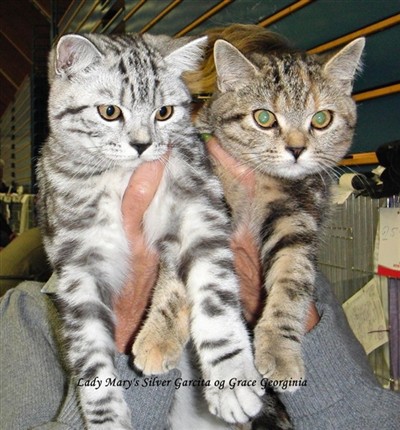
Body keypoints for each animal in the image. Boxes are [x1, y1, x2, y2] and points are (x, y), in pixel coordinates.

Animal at [36, 31, 262, 428]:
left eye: (164, 112)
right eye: (109, 112)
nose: (141, 144)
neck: (120, 178)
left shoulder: (200, 208)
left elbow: (211, 296)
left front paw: (231, 375)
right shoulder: (76, 262)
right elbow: (89, 349)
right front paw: (106, 416)